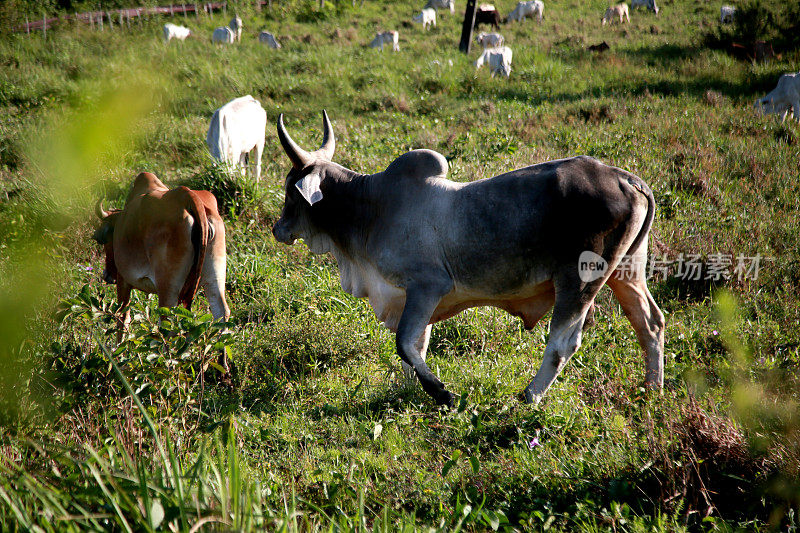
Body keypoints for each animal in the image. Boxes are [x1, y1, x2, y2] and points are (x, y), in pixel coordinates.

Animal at [95, 171, 231, 344]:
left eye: (105, 240)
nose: (107, 275)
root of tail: (187, 196)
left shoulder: (123, 280)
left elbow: (122, 317)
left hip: (167, 288)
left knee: (168, 326)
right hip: (215, 277)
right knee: (221, 314)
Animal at [272, 110, 664, 406]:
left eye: (291, 190)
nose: (278, 229)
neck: (369, 210)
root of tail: (625, 178)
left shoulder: (427, 286)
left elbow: (405, 344)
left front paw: (442, 394)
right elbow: (417, 345)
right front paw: (409, 391)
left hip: (579, 279)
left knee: (563, 341)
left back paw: (530, 396)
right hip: (626, 271)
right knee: (650, 322)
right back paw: (652, 390)